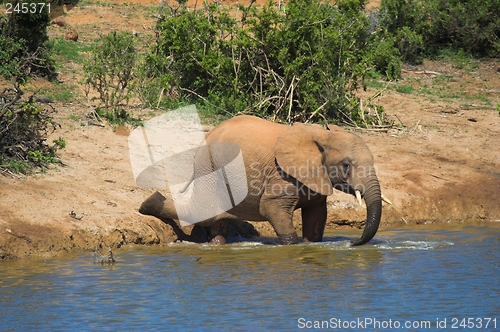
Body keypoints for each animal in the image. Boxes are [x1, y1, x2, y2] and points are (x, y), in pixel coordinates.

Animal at [139, 115, 384, 245]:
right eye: (346, 165)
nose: (352, 242)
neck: (322, 136)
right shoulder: (282, 175)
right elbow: (271, 208)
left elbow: (316, 216)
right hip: (209, 166)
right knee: (204, 211)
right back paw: (149, 203)